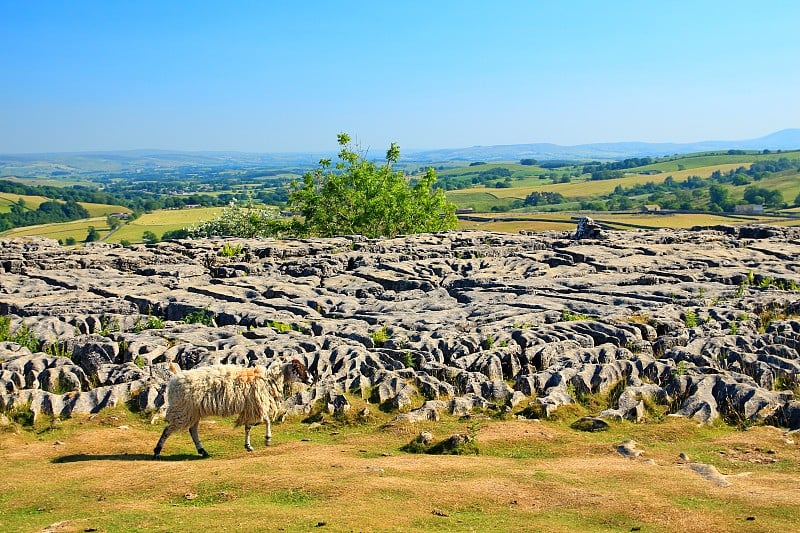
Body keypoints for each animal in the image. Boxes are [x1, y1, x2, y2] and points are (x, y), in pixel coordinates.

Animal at [153, 360, 312, 460]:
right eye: (300, 368)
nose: (311, 380)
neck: (269, 380)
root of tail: (173, 381)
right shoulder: (256, 405)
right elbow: (266, 420)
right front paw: (267, 439)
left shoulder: (250, 407)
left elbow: (249, 427)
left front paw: (248, 446)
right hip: (183, 410)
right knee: (168, 429)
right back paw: (157, 451)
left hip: (193, 411)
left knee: (192, 430)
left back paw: (203, 451)